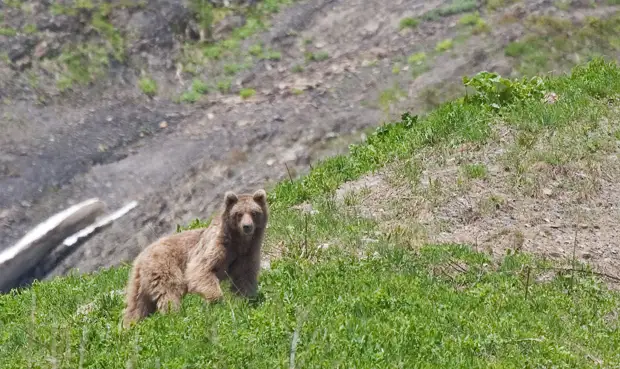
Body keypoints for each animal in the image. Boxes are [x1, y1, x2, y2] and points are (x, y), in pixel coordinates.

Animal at [121, 188, 266, 326]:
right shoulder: (215, 247)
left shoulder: (247, 254)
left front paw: (245, 300)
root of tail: (140, 257)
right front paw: (217, 300)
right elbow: (200, 270)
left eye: (254, 212)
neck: (238, 243)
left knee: (136, 305)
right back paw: (174, 316)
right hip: (163, 267)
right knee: (170, 292)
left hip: (139, 282)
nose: (247, 226)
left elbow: (244, 277)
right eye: (239, 213)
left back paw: (129, 325)